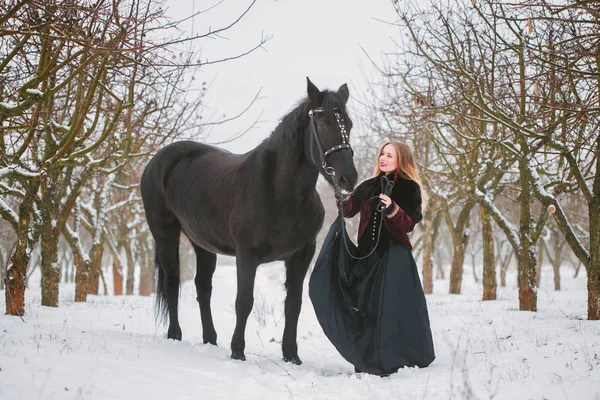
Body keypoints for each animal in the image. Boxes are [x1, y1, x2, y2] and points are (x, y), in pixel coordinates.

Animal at [141, 77, 356, 362]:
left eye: (349, 125)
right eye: (322, 124)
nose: (348, 178)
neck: (280, 193)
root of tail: (159, 160)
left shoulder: (302, 255)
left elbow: (293, 304)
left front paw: (291, 355)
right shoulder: (246, 255)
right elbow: (244, 301)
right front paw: (238, 352)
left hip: (203, 243)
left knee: (203, 288)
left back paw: (210, 340)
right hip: (165, 235)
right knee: (172, 282)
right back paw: (175, 335)